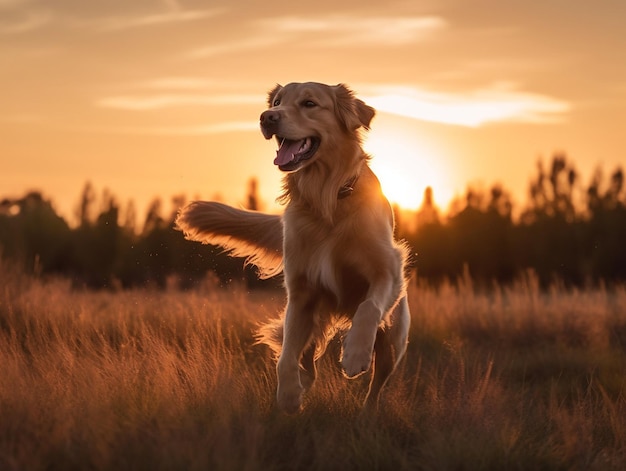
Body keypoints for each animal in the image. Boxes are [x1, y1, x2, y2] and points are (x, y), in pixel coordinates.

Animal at [176, 82, 410, 412]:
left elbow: (369, 306)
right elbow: (285, 357)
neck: (325, 199)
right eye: (276, 102)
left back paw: (367, 410)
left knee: (376, 384)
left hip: (394, 339)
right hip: (313, 320)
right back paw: (303, 386)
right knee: (307, 362)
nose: (267, 117)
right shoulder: (300, 296)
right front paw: (287, 396)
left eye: (309, 103)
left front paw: (354, 354)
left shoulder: (387, 269)